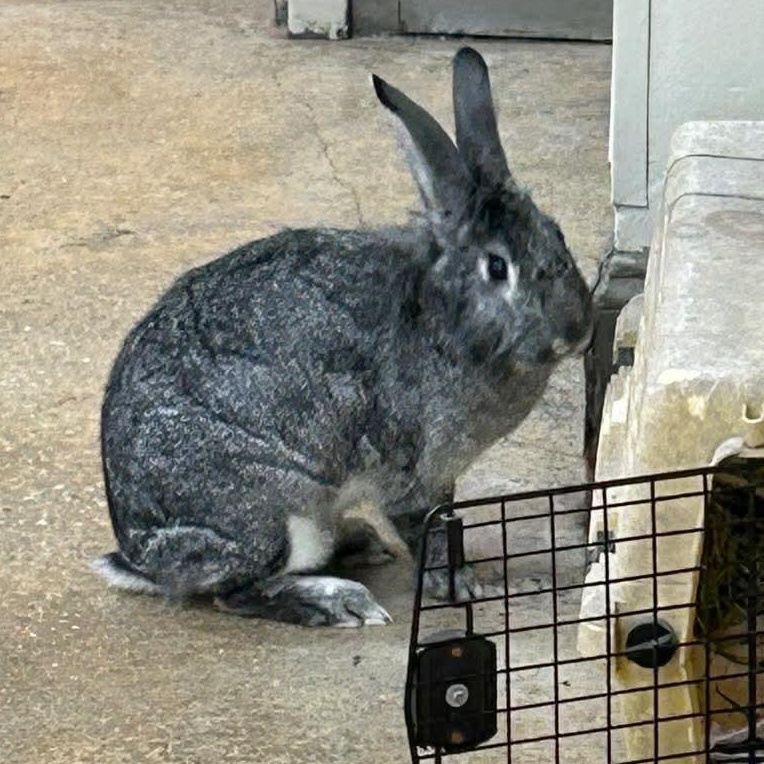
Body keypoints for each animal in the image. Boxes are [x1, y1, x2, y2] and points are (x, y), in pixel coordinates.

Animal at [92, 46, 593, 627]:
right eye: (497, 267)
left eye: (556, 233)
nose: (577, 330)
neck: (442, 314)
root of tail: (143, 557)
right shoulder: (411, 470)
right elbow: (428, 530)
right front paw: (464, 587)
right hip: (271, 513)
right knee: (234, 592)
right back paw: (338, 603)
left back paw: (358, 544)